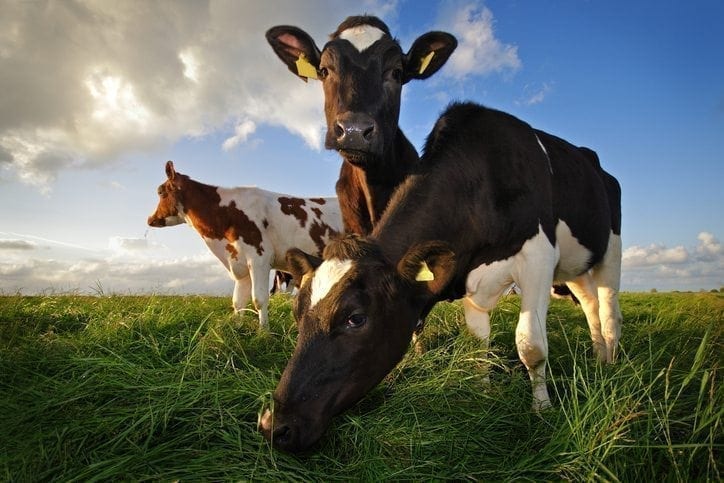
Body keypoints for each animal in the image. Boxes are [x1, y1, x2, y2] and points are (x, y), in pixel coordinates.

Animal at [147, 161, 342, 329]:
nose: (150, 219)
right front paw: (237, 329)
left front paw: (264, 332)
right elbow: (238, 301)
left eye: (160, 192)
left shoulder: (259, 258)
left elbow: (259, 299)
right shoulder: (239, 263)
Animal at [259, 102, 622, 452]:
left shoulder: (539, 256)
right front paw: (484, 394)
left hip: (610, 250)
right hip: (576, 267)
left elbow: (531, 345)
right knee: (589, 304)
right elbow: (478, 343)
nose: (274, 426)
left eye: (355, 318)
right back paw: (597, 356)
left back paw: (611, 362)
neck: (482, 178)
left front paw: (542, 411)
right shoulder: (472, 281)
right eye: (296, 313)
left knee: (607, 309)